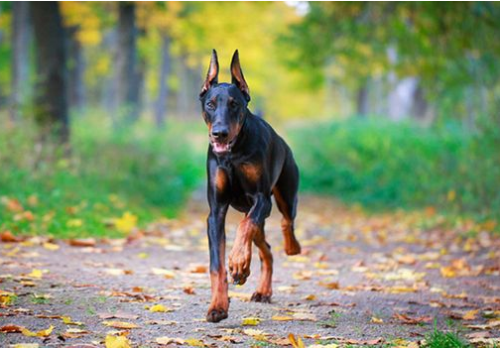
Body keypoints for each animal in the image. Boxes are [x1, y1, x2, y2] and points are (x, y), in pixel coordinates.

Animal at [199, 49, 300, 324]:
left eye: (235, 104)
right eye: (211, 104)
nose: (220, 133)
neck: (233, 153)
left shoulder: (261, 199)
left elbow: (244, 227)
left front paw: (237, 262)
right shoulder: (216, 211)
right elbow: (216, 265)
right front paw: (218, 306)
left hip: (285, 194)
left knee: (285, 222)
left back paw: (291, 247)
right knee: (266, 249)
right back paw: (260, 288)